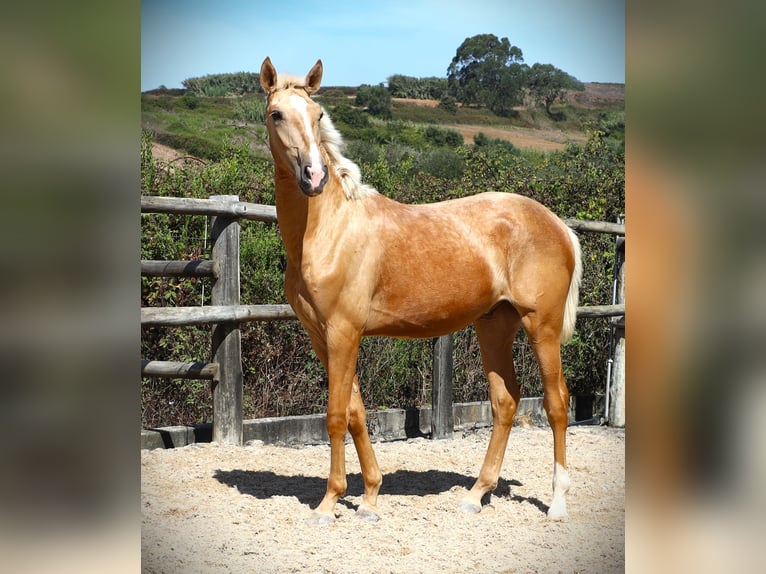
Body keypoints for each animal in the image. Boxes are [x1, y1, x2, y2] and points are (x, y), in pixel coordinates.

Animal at [258, 57, 584, 528]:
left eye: (318, 115)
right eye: (276, 114)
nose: (314, 176)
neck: (328, 229)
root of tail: (558, 224)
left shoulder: (343, 332)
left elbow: (336, 416)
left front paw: (329, 503)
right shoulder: (323, 336)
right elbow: (356, 412)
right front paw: (370, 498)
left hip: (543, 326)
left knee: (557, 403)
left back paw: (557, 502)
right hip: (495, 326)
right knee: (505, 402)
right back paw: (476, 495)